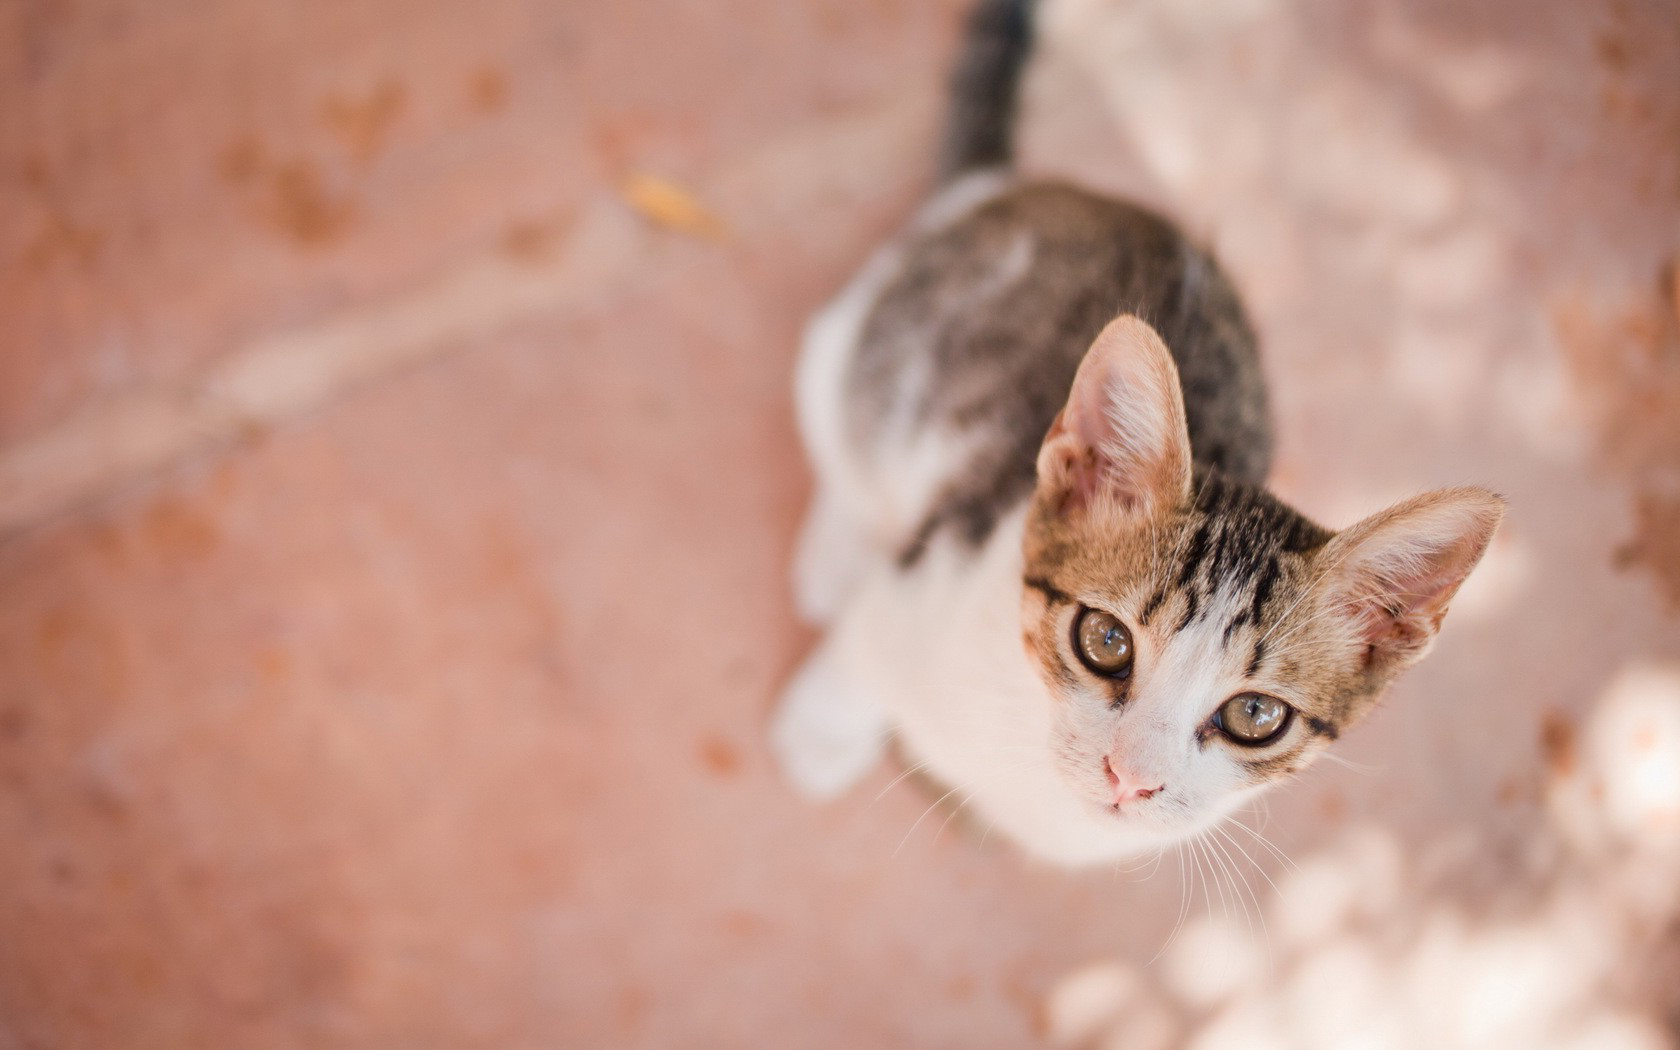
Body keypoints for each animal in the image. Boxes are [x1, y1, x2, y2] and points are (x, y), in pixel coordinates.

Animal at [769, 0, 1505, 866]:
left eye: (1256, 716)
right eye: (1105, 640)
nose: (1131, 779)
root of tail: (1012, 186)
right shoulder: (933, 570)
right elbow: (866, 643)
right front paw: (822, 728)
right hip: (864, 350)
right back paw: (838, 549)